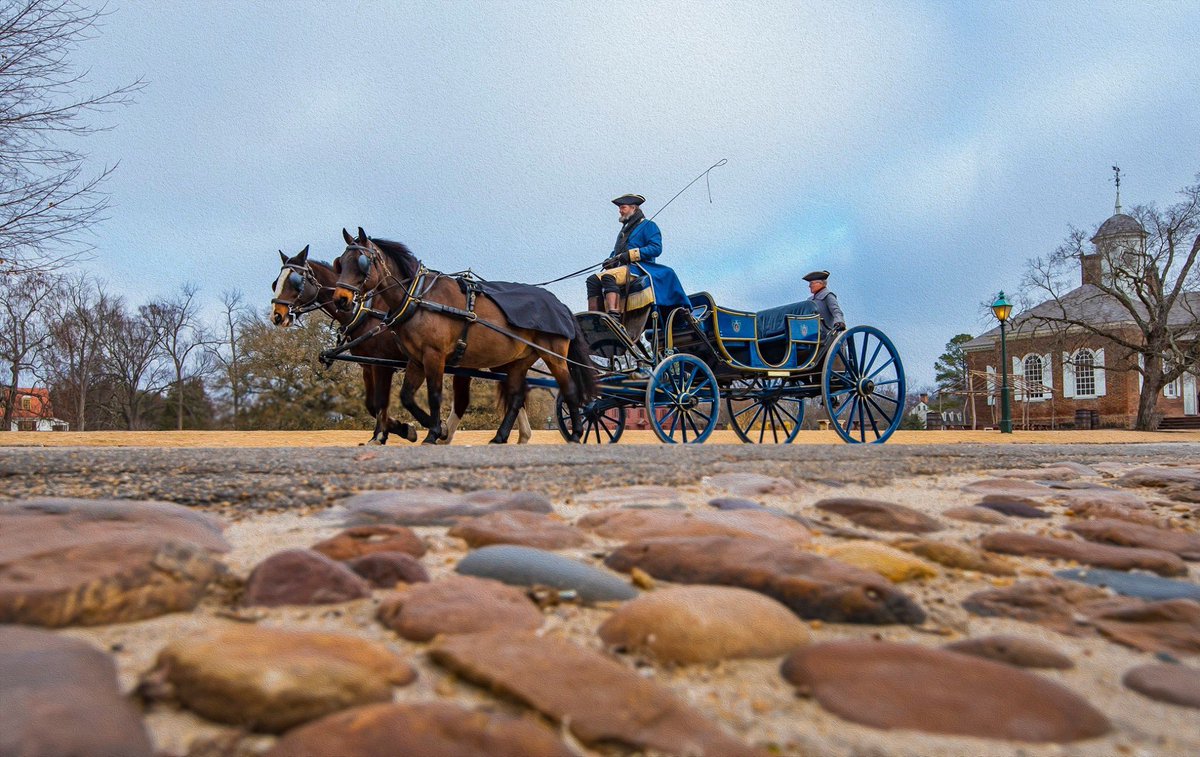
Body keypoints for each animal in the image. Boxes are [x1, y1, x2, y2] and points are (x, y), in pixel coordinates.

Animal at [272, 245, 535, 443]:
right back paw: (521, 435)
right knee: (512, 392)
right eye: (276, 282)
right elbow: (371, 404)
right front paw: (389, 432)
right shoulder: (369, 366)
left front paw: (391, 433)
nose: (277, 315)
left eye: (295, 281)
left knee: (473, 399)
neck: (365, 310)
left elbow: (380, 402)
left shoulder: (383, 364)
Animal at [331, 227, 597, 446]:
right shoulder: (416, 360)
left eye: (362, 262)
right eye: (340, 263)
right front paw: (430, 429)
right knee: (516, 396)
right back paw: (500, 436)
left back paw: (575, 433)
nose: (341, 299)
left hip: (554, 355)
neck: (419, 297)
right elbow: (406, 396)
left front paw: (433, 433)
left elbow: (434, 394)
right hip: (520, 359)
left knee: (569, 388)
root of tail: (559, 304)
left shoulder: (433, 355)